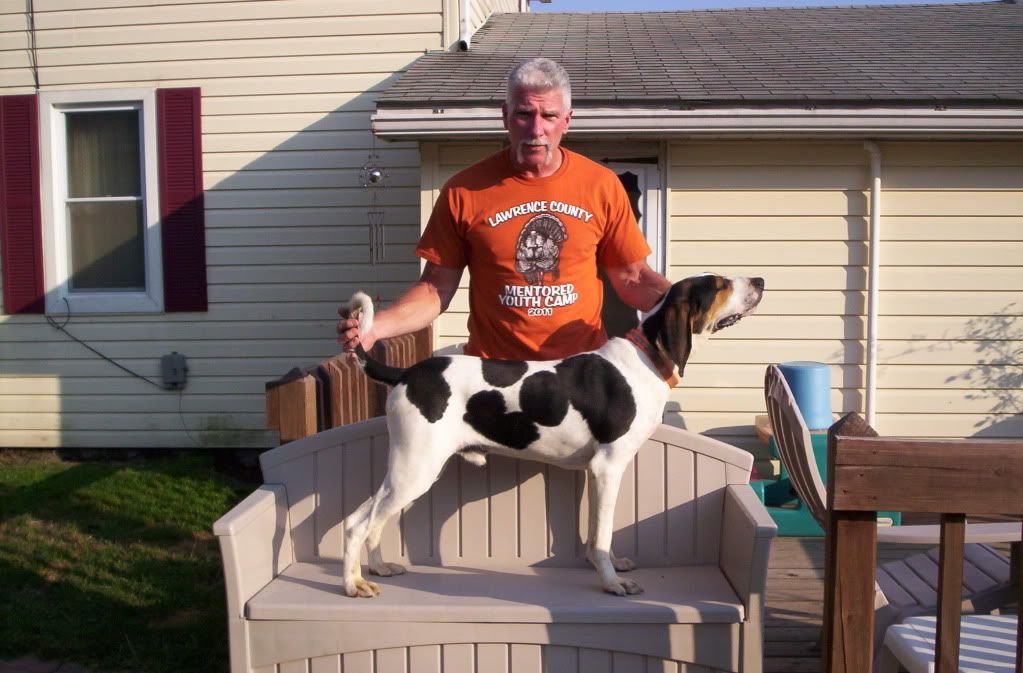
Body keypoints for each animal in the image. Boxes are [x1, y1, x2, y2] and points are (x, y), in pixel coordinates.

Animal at [342, 273, 764, 598]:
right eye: (721, 284)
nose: (760, 280)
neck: (645, 359)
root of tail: (406, 374)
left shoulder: (593, 473)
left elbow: (595, 535)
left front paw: (609, 567)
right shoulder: (609, 468)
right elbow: (602, 534)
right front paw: (612, 584)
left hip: (407, 472)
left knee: (368, 521)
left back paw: (377, 569)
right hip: (415, 470)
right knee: (358, 524)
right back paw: (352, 586)